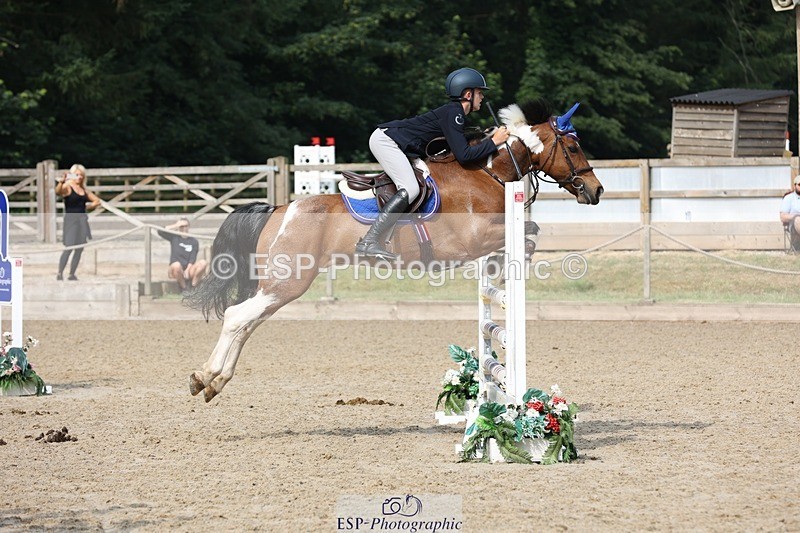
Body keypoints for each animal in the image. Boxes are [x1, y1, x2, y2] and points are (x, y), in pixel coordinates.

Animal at [186, 100, 604, 402]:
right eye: (573, 146)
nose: (595, 190)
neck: (486, 172)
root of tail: (276, 210)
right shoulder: (473, 239)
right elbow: (529, 232)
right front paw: (521, 257)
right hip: (286, 282)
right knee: (237, 317)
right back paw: (204, 376)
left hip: (278, 285)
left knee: (247, 322)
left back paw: (214, 382)